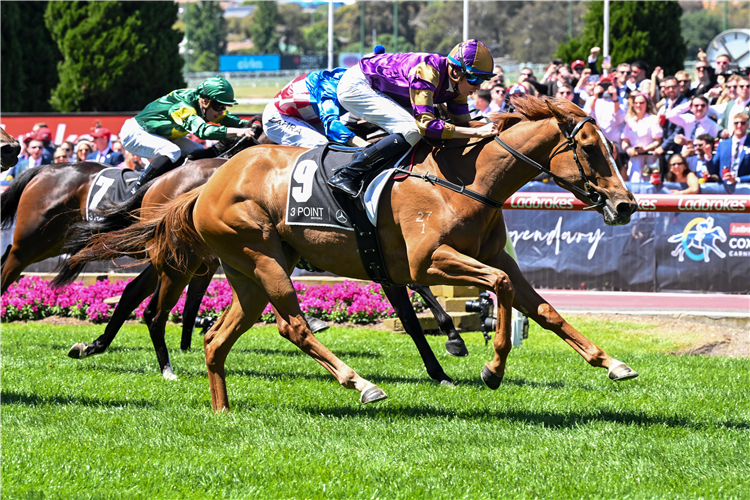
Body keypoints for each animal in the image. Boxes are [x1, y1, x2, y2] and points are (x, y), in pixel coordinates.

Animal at [66, 95, 640, 412]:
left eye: (613, 147)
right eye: (591, 148)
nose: (627, 204)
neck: (461, 182)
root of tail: (207, 185)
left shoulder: (497, 259)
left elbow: (543, 309)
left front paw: (611, 363)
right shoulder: (426, 261)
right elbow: (492, 294)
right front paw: (491, 369)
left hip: (248, 270)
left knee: (216, 336)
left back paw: (221, 408)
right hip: (262, 258)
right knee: (289, 325)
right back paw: (360, 383)